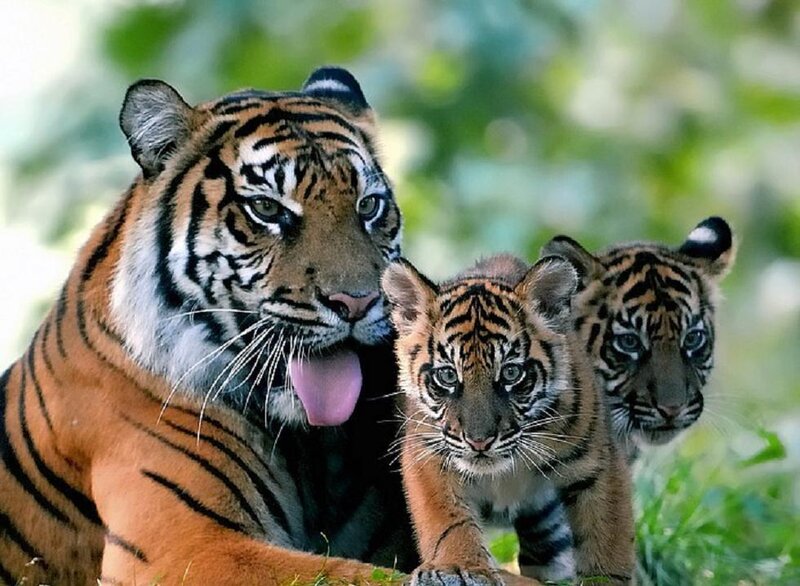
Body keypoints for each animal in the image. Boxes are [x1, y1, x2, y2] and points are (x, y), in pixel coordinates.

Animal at [382, 255, 636, 585]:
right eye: (448, 375)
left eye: (511, 373)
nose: (479, 441)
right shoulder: (427, 452)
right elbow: (448, 519)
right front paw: (457, 566)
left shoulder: (598, 461)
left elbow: (607, 536)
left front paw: (605, 578)